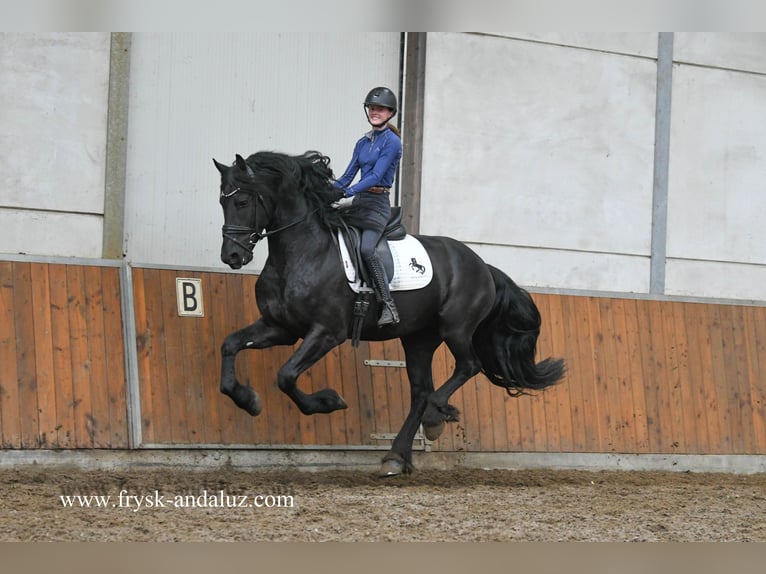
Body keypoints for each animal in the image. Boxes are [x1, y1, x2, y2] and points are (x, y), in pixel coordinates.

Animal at [213, 152, 568, 476]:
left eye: (242, 201)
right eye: (221, 202)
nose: (232, 256)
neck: (302, 253)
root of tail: (482, 264)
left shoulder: (326, 332)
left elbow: (286, 376)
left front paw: (329, 402)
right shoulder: (280, 328)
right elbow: (230, 345)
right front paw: (247, 400)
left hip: (456, 329)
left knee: (468, 366)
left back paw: (435, 418)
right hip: (419, 339)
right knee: (420, 392)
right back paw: (397, 457)